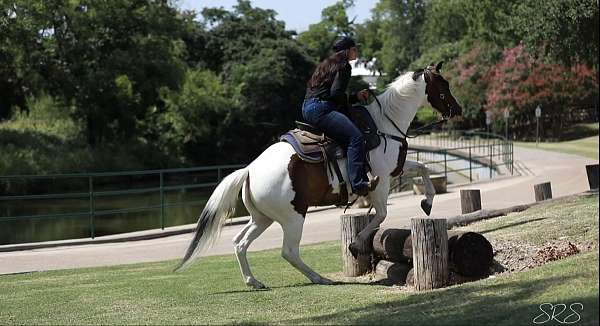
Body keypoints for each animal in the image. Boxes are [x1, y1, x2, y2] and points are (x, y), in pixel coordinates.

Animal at [176, 62, 462, 290]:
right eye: (443, 85)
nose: (457, 110)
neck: (384, 126)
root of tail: (249, 170)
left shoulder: (395, 170)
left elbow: (423, 169)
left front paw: (427, 202)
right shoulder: (379, 182)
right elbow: (381, 214)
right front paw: (355, 244)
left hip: (262, 218)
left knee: (240, 243)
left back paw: (254, 281)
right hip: (293, 217)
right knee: (288, 251)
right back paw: (319, 278)